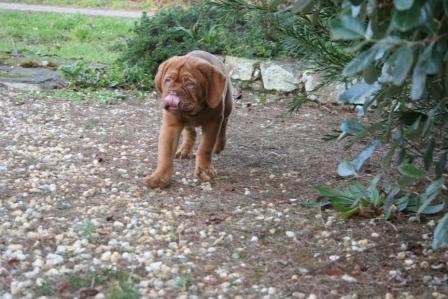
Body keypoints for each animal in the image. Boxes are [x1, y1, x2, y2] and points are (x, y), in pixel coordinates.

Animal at [145, 50, 233, 189]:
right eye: (168, 80)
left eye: (190, 84)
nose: (174, 93)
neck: (195, 111)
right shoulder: (171, 125)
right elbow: (165, 152)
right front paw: (160, 176)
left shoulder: (213, 122)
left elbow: (205, 147)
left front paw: (204, 169)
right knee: (190, 130)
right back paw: (185, 149)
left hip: (228, 105)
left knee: (224, 122)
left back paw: (219, 145)